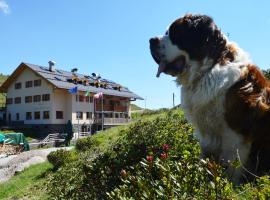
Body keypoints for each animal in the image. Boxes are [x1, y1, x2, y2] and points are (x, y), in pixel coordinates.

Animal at [149, 14, 270, 183]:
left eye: (176, 33)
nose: (151, 40)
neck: (207, 70)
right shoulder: (205, 134)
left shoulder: (234, 134)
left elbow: (232, 166)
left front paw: (227, 185)